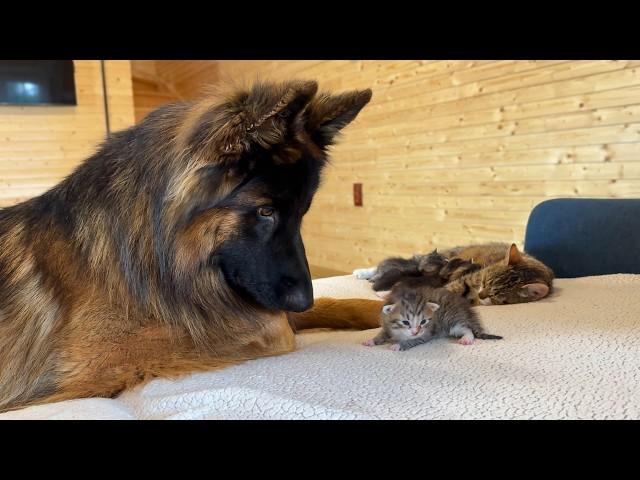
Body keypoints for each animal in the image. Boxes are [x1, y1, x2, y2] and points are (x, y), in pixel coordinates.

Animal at [0, 79, 384, 412]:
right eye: (266, 211)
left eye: (302, 212)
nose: (304, 300)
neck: (155, 248)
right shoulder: (99, 357)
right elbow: (275, 325)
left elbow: (320, 304)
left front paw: (378, 308)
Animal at [362, 282, 502, 352]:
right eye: (406, 322)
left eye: (423, 321)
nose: (415, 332)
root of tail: (465, 308)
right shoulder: (386, 323)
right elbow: (382, 333)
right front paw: (372, 340)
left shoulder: (426, 334)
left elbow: (414, 340)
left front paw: (399, 345)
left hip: (451, 321)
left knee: (467, 328)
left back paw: (466, 339)